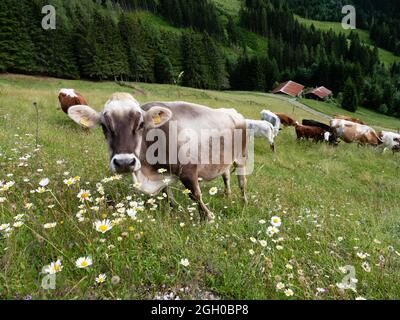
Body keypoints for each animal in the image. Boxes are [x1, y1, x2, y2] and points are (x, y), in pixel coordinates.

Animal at [69, 94, 250, 221]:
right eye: (104, 126)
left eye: (141, 124)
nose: (124, 162)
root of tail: (232, 111)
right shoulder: (163, 172)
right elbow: (167, 193)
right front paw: (175, 208)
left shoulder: (188, 170)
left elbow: (195, 195)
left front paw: (208, 217)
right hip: (224, 159)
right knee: (226, 176)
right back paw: (228, 195)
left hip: (241, 156)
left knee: (242, 181)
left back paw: (244, 201)